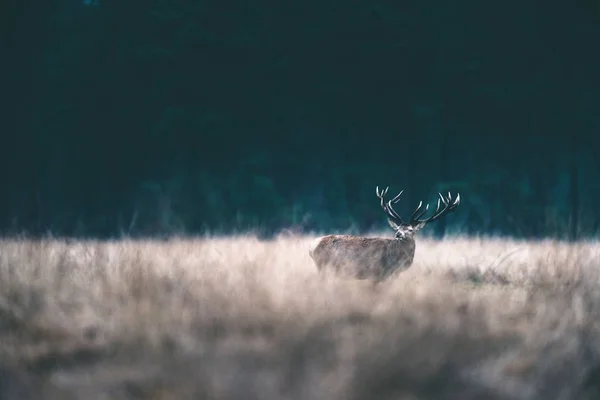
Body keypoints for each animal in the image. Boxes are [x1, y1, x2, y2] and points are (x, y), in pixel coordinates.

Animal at [310, 186, 460, 280]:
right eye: (397, 228)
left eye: (410, 230)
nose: (398, 235)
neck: (397, 261)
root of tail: (311, 247)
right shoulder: (378, 273)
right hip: (324, 266)